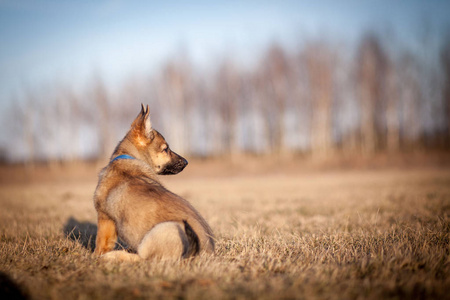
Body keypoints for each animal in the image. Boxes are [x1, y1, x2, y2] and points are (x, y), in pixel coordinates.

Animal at [92, 105, 214, 260]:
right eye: (165, 149)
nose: (186, 162)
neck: (128, 157)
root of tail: (201, 254)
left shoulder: (104, 219)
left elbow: (100, 244)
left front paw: (94, 257)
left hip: (163, 230)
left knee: (143, 259)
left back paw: (114, 256)